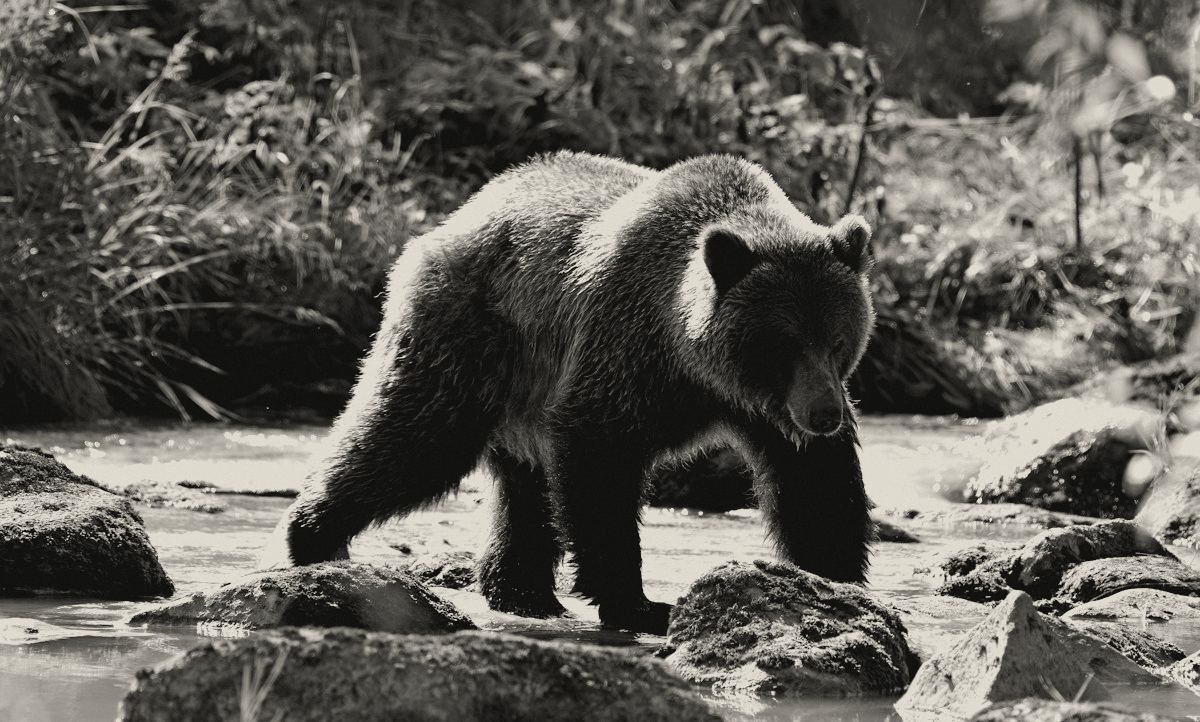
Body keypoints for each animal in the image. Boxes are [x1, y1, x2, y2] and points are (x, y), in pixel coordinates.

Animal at [274, 151, 876, 634]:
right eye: (783, 343)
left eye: (838, 339)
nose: (825, 413)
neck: (695, 362)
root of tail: (455, 218)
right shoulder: (626, 350)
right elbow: (600, 457)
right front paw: (638, 602)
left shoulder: (765, 408)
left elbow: (813, 483)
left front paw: (835, 579)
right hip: (471, 338)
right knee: (412, 439)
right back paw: (312, 537)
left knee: (523, 490)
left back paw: (522, 591)